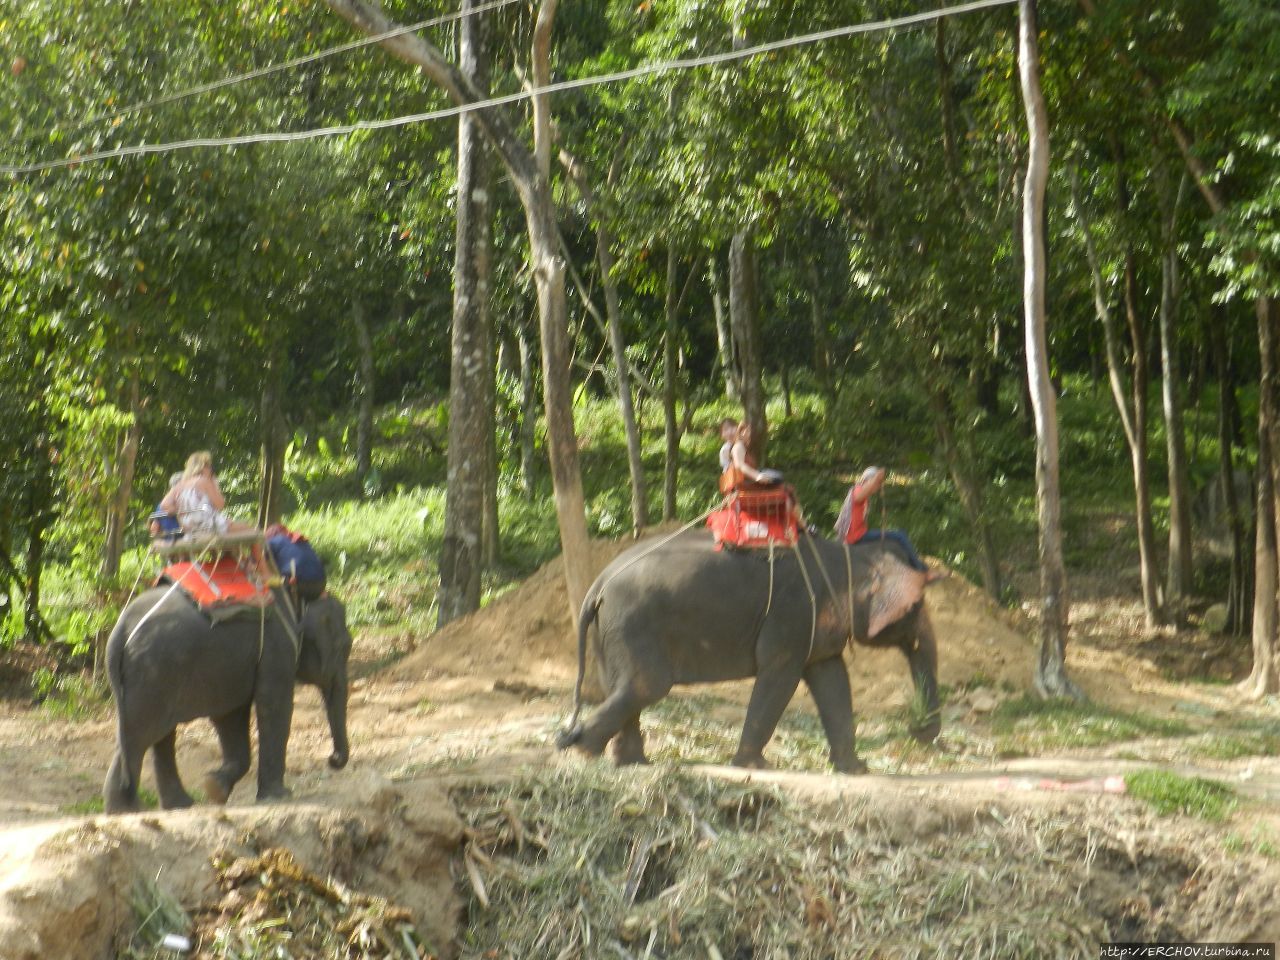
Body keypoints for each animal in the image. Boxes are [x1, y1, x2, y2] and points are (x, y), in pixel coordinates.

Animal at [103, 583, 353, 814]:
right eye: (344, 647)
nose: (333, 759)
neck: (297, 598)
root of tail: (120, 631)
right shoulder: (277, 646)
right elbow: (273, 705)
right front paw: (279, 796)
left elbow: (229, 717)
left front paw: (214, 787)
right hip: (154, 670)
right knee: (141, 734)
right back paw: (128, 809)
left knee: (157, 735)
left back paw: (176, 805)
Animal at [558, 529, 942, 778]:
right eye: (916, 605)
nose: (917, 731)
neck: (852, 556)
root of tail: (598, 583)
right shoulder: (792, 614)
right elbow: (780, 676)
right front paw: (756, 767)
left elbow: (832, 678)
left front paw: (857, 770)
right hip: (631, 625)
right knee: (645, 686)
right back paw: (582, 754)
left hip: (609, 632)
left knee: (624, 688)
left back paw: (631, 762)